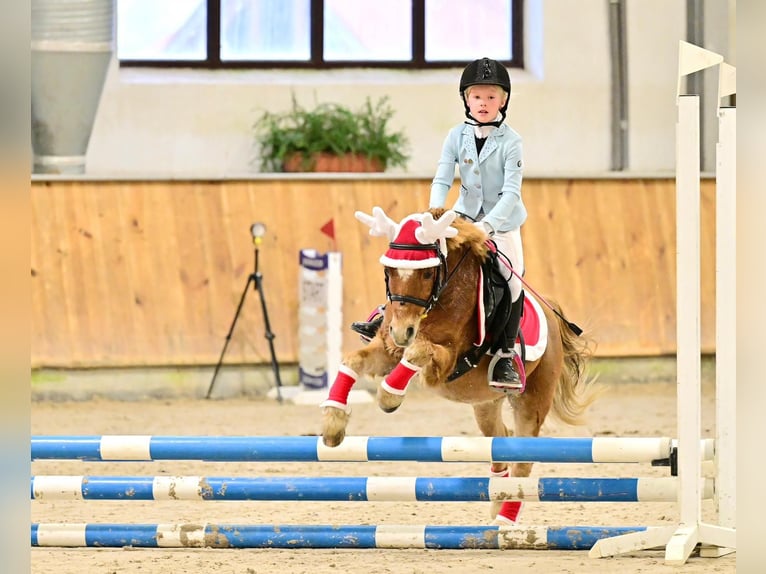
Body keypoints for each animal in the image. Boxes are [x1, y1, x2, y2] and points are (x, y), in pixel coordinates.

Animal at [318, 208, 600, 528]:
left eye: (427, 273)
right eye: (389, 271)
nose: (403, 331)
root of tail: (551, 316)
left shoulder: (447, 359)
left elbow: (418, 351)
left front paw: (389, 395)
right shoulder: (387, 348)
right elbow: (353, 360)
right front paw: (333, 422)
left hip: (533, 402)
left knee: (523, 460)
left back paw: (505, 521)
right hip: (485, 403)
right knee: (500, 439)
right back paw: (498, 498)